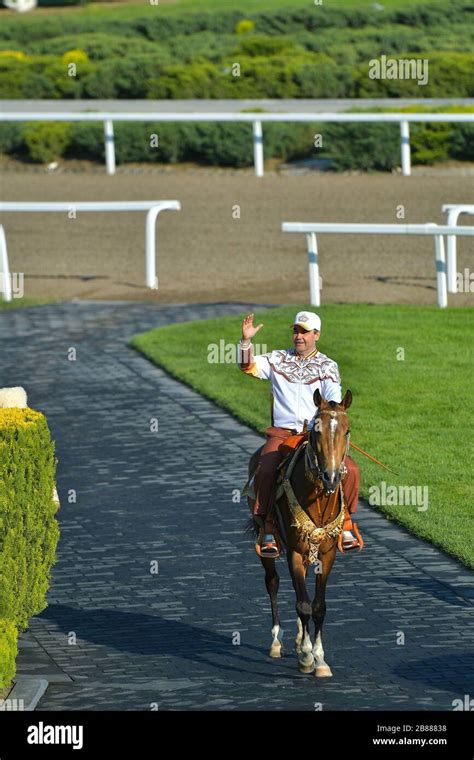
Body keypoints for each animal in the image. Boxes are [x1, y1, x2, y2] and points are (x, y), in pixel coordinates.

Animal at [246, 388, 354, 672]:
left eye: (347, 431)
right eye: (316, 432)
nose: (331, 477)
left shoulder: (327, 554)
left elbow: (318, 606)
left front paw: (319, 657)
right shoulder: (294, 550)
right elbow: (303, 604)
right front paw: (306, 656)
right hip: (266, 539)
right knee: (273, 582)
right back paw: (278, 642)